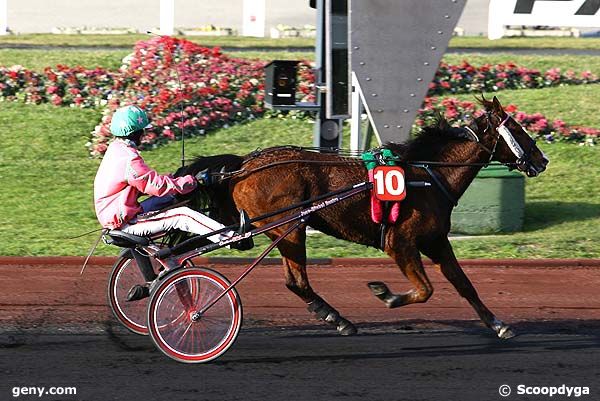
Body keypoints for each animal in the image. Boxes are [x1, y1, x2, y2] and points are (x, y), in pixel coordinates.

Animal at [175, 96, 548, 338]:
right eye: (518, 129)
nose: (541, 160)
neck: (427, 175)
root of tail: (243, 165)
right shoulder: (401, 242)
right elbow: (425, 289)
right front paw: (386, 294)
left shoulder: (436, 241)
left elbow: (464, 284)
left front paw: (498, 324)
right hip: (290, 228)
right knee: (297, 280)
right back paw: (336, 318)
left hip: (286, 230)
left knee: (294, 281)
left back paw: (333, 316)